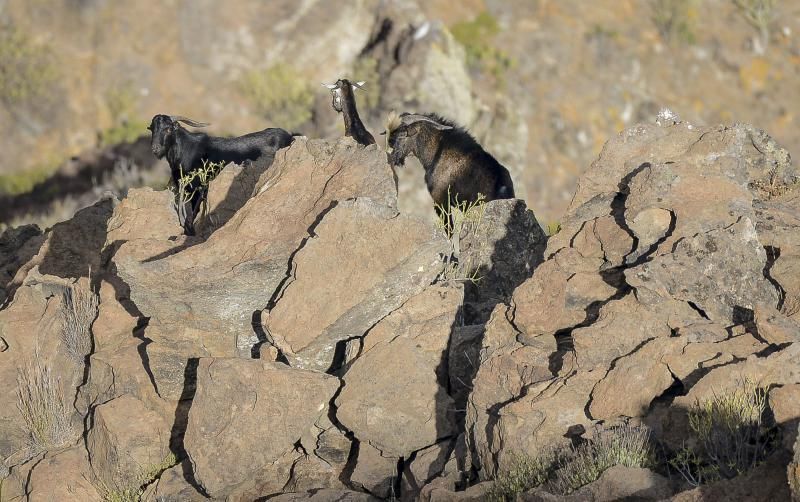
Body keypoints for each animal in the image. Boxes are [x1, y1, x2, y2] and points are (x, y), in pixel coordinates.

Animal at [148, 114, 295, 234]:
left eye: (168, 129)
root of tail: (289, 136)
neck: (186, 150)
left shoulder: (199, 187)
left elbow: (193, 212)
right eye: (152, 129)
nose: (155, 149)